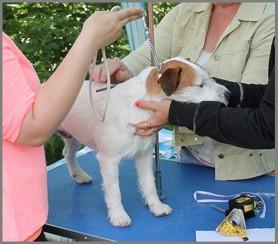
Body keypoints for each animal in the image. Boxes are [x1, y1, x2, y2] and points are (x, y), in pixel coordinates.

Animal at [58, 57, 228, 227]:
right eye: (201, 85)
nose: (229, 94)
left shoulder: (144, 156)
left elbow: (149, 184)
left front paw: (156, 206)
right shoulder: (109, 161)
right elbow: (114, 192)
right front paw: (118, 215)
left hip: (74, 137)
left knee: (68, 154)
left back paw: (79, 175)